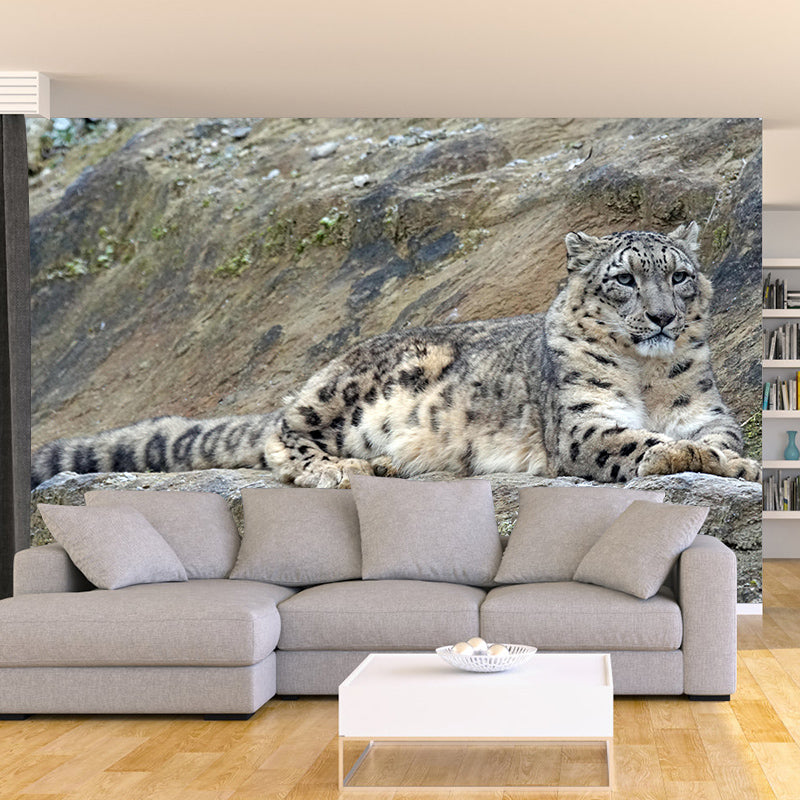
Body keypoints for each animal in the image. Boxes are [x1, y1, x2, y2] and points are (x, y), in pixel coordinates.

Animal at [31, 221, 761, 490]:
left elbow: (712, 438)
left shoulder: (706, 410)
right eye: (624, 279)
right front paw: (692, 457)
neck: (649, 376)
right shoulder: (584, 421)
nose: (663, 316)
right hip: (351, 387)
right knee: (280, 433)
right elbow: (638, 442)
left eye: (679, 275)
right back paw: (340, 468)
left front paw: (731, 460)